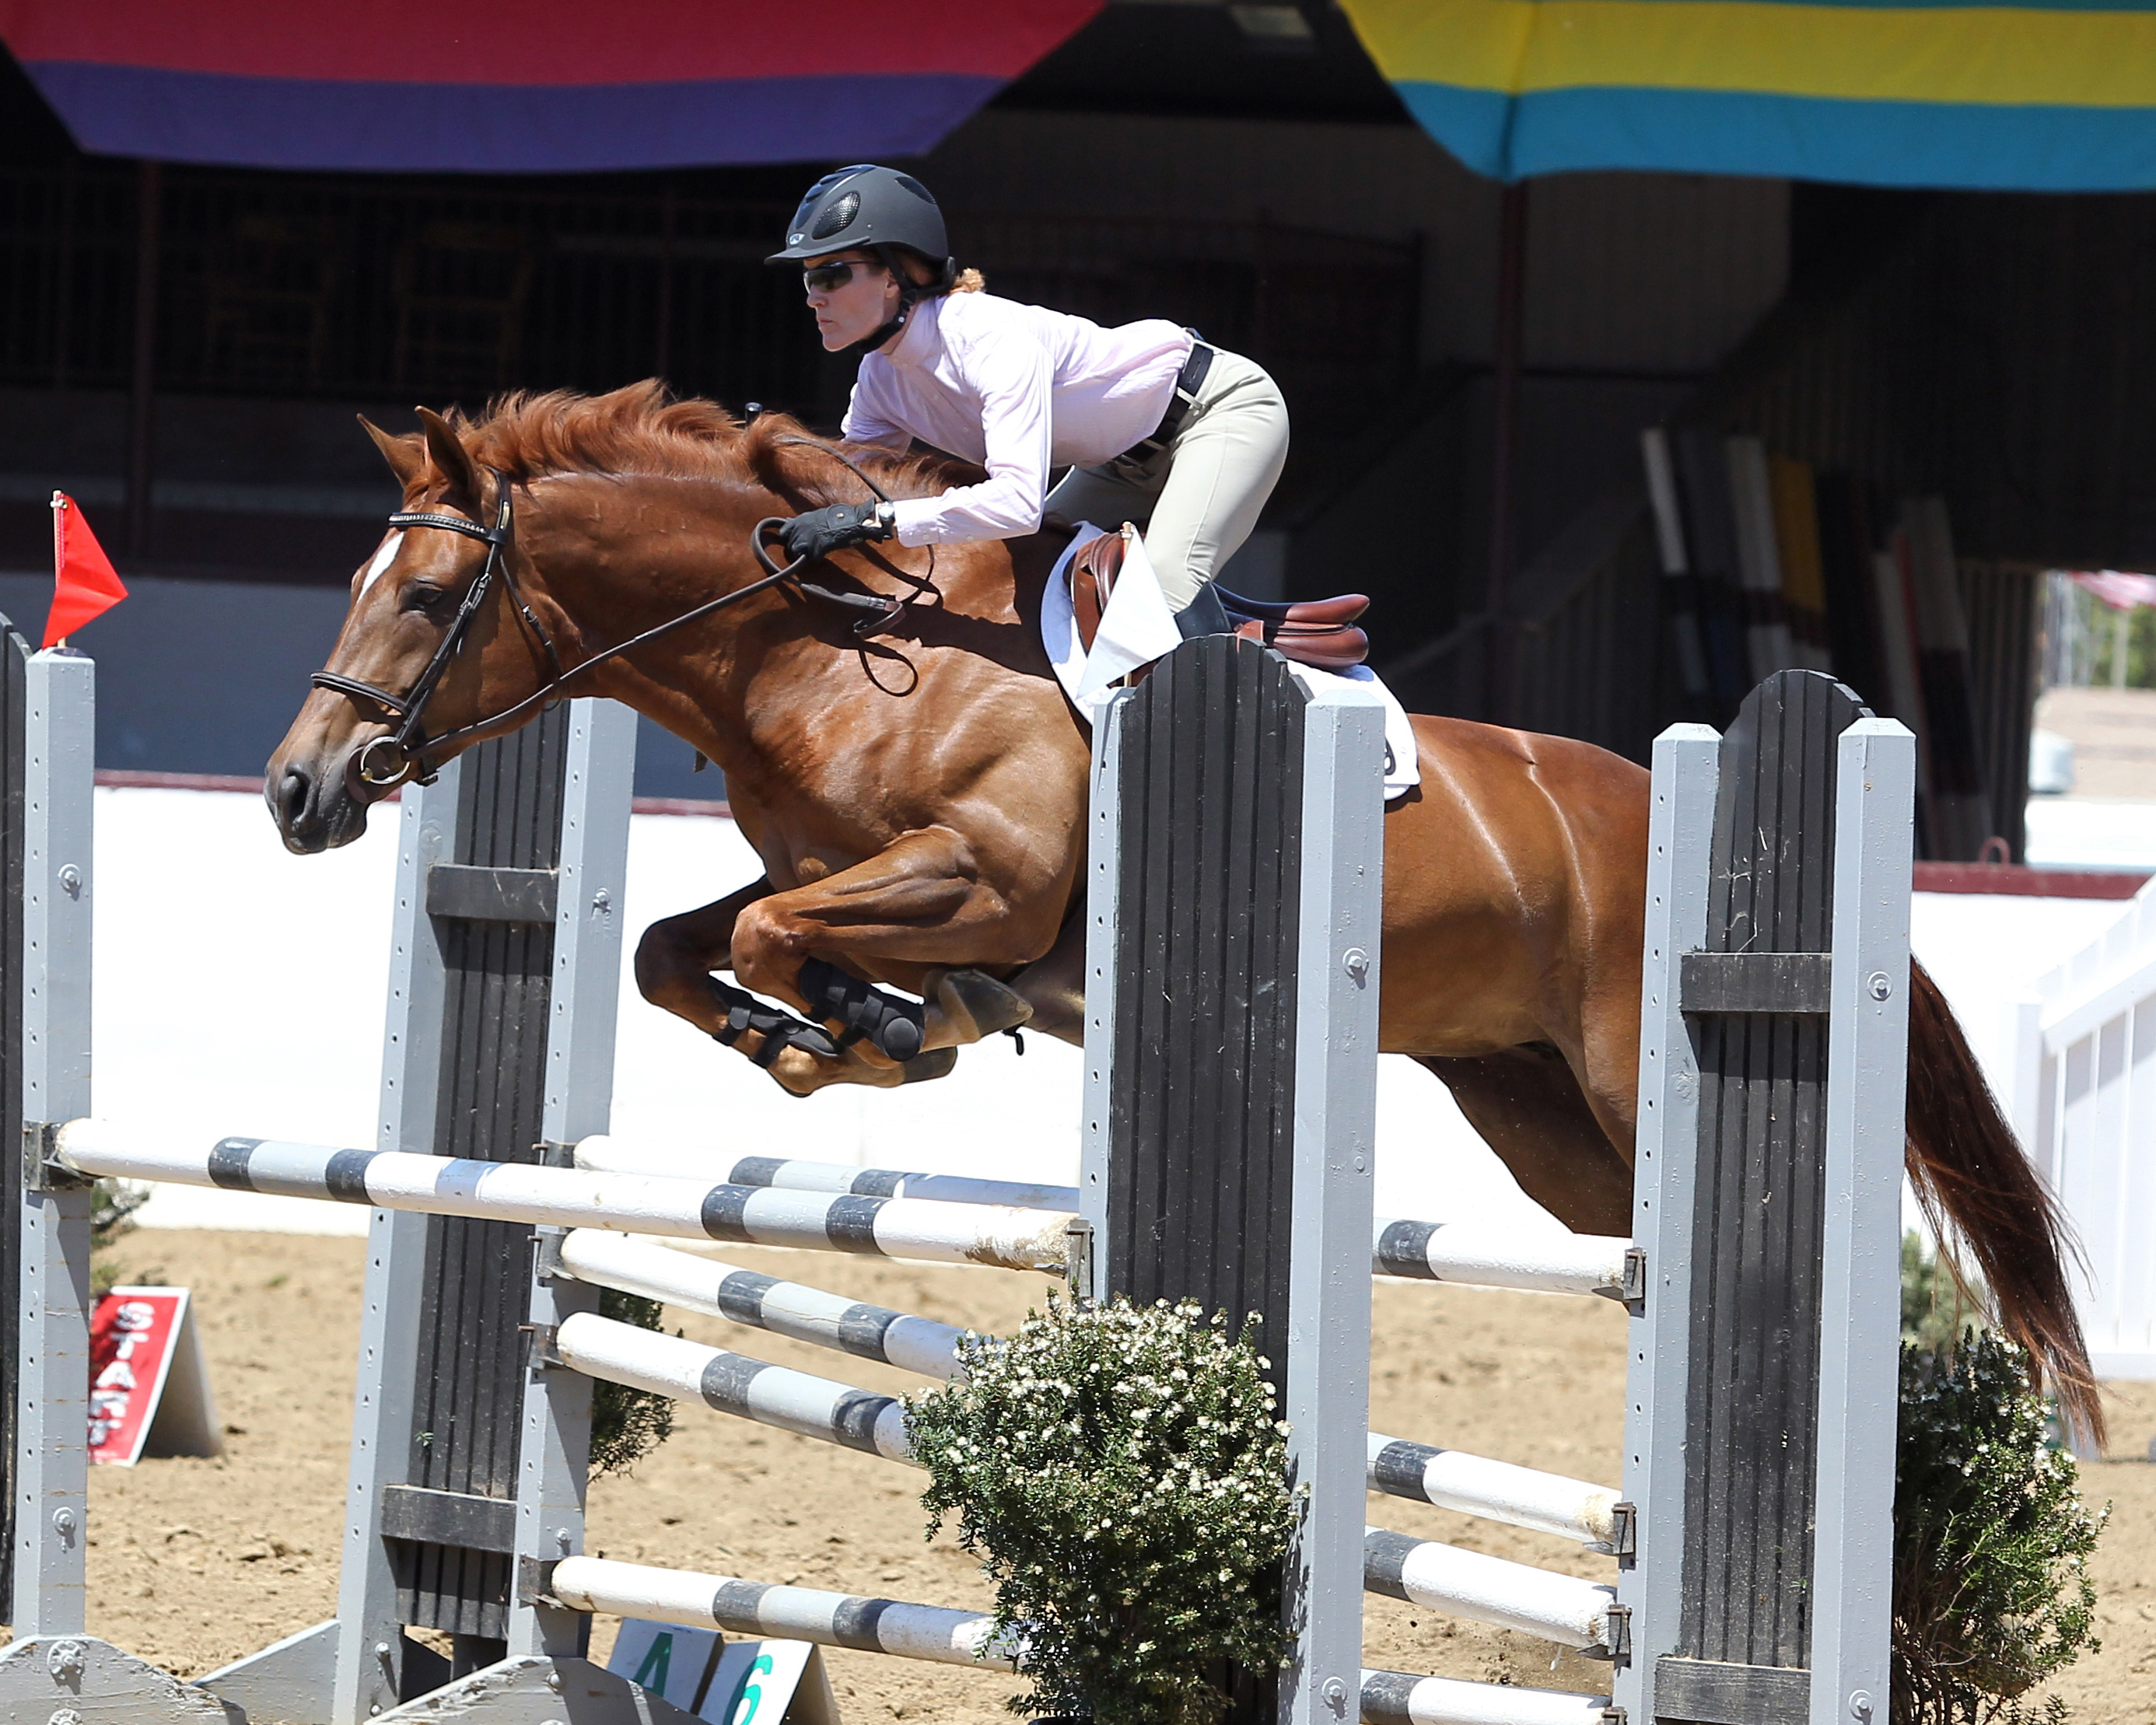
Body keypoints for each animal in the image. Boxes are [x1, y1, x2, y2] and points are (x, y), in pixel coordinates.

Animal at [261, 388, 2095, 1431]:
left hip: (1628, 1073)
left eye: (430, 593)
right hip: (1538, 1122)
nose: (297, 791)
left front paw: (864, 1035)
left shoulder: (980, 879)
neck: (826, 644)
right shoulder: (820, 868)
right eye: (351, 581)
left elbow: (795, 947)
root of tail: (1674, 799)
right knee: (1618, 1233)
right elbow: (676, 946)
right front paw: (848, 1027)